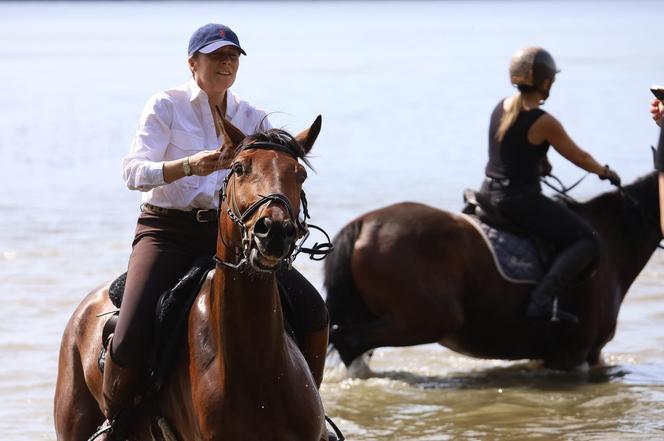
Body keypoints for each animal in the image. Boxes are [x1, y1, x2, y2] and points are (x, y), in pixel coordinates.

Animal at [324, 172, 660, 372]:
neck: (612, 235)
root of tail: (363, 223)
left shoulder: (586, 355)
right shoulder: (572, 355)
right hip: (427, 320)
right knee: (350, 341)